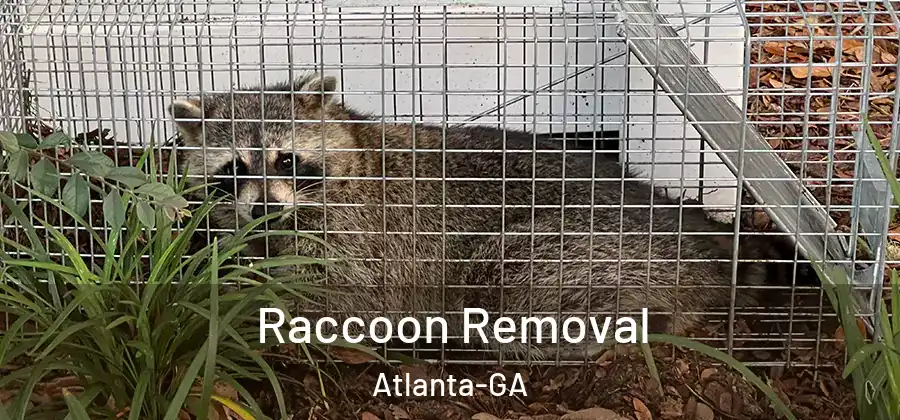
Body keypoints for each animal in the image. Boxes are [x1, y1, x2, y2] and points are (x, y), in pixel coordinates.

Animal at [167, 73, 805, 359]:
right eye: (233, 168)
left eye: (286, 159)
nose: (265, 207)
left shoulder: (365, 235)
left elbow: (345, 297)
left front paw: (253, 308)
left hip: (582, 249)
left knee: (503, 274)